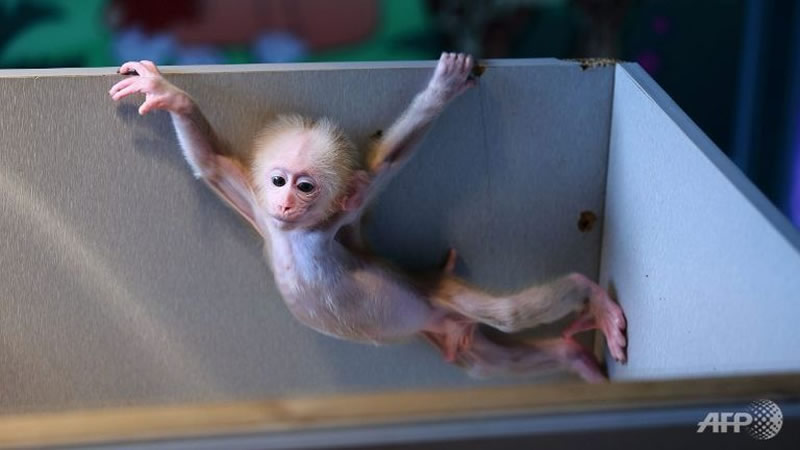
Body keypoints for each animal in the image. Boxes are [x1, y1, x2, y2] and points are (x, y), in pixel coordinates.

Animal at [108, 53, 626, 382]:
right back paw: (573, 356)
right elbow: (211, 165)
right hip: (444, 332)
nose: (286, 204)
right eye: (278, 181)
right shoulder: (258, 209)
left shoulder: (345, 213)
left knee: (509, 315)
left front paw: (441, 92)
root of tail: (442, 307)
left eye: (305, 186)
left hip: (441, 294)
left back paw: (592, 296)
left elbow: (386, 166)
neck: (298, 235)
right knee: (485, 361)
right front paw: (167, 94)